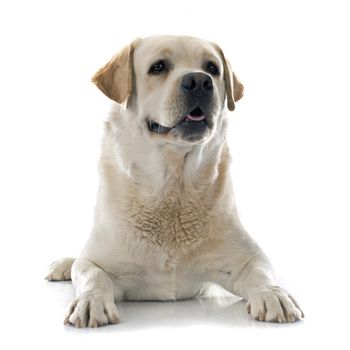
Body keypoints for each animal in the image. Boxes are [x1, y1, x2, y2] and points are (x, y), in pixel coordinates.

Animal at [45, 34, 304, 326]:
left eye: (212, 68)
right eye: (158, 67)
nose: (200, 81)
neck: (172, 185)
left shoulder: (248, 258)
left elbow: (261, 273)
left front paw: (274, 295)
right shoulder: (96, 260)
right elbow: (91, 274)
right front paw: (91, 301)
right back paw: (63, 265)